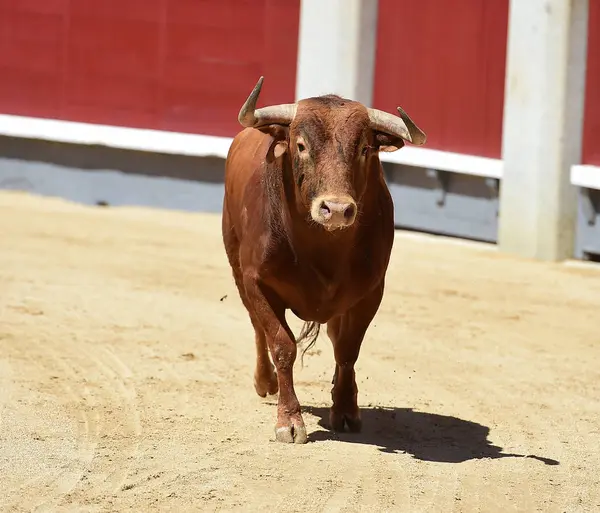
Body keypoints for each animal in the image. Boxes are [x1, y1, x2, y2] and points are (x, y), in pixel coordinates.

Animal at [221, 74, 426, 442]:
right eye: (301, 146)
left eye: (364, 149)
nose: (337, 209)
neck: (322, 246)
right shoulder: (256, 281)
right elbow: (281, 345)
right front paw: (289, 421)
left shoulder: (370, 292)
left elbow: (347, 350)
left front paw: (345, 410)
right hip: (236, 266)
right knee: (257, 327)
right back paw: (265, 382)